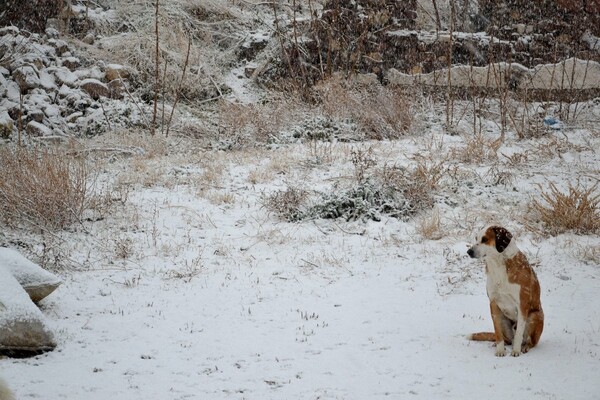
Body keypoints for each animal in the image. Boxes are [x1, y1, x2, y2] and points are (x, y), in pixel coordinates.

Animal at [466, 225, 548, 356]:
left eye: (485, 239)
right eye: (476, 238)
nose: (469, 252)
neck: (498, 265)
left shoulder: (522, 305)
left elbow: (519, 333)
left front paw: (516, 351)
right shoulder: (493, 303)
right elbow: (497, 332)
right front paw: (500, 350)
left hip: (535, 316)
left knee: (530, 341)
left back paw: (524, 347)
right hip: (504, 320)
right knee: (507, 340)